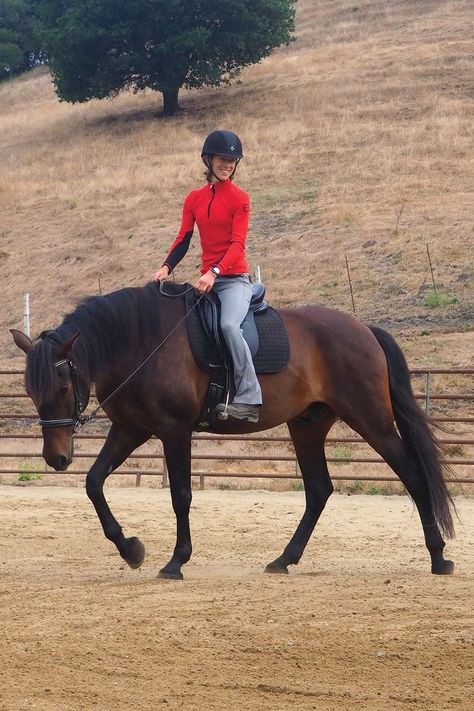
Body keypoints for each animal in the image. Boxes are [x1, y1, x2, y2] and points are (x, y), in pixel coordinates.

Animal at [11, 280, 456, 580]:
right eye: (31, 390)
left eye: (62, 387)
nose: (56, 458)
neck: (142, 340)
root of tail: (364, 330)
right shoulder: (130, 429)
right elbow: (93, 482)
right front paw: (131, 549)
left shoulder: (174, 430)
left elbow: (181, 495)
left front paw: (176, 561)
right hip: (308, 426)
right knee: (318, 490)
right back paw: (284, 560)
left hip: (371, 418)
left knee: (412, 474)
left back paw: (438, 557)